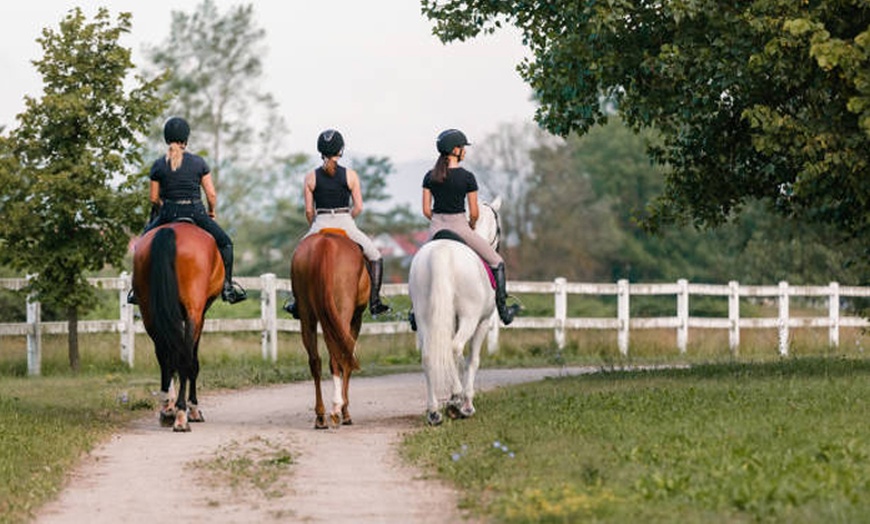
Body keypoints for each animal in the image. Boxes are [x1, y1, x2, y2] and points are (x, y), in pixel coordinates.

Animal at [131, 221, 225, 430]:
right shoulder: (200, 315)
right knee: (185, 359)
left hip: (150, 313)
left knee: (164, 357)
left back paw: (168, 410)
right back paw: (182, 415)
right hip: (192, 312)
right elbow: (193, 362)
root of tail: (170, 230)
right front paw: (193, 409)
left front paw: (169, 408)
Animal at [292, 229, 372, 430]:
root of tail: (325, 245)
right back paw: (337, 409)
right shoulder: (355, 320)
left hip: (308, 316)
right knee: (338, 359)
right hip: (342, 313)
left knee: (315, 361)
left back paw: (320, 417)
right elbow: (347, 360)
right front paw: (345, 412)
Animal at [408, 196, 504, 426]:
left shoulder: (449, 319)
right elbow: (473, 360)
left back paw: (435, 412)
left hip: (425, 317)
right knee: (455, 348)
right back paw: (458, 400)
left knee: (429, 355)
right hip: (470, 318)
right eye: (499, 228)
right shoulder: (482, 322)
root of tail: (441, 252)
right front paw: (465, 402)